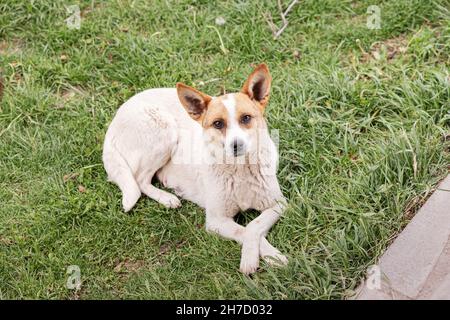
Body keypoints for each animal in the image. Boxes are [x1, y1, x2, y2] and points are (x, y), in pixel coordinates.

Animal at [103, 64, 286, 272]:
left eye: (246, 118)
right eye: (218, 123)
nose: (236, 145)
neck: (239, 170)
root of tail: (116, 118)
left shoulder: (279, 203)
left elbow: (255, 225)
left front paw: (270, 256)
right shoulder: (216, 221)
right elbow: (245, 230)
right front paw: (253, 258)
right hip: (165, 131)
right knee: (140, 180)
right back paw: (166, 198)